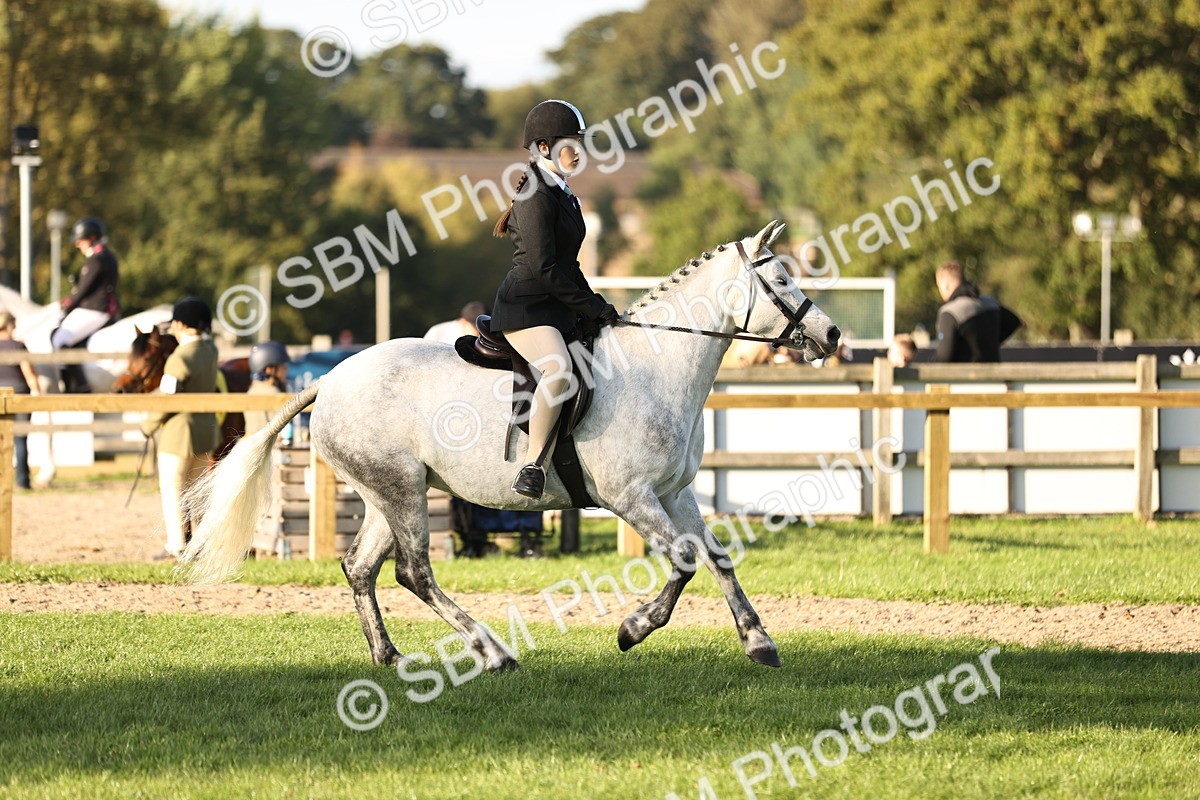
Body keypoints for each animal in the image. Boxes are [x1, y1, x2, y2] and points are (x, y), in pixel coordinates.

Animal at [179, 221, 841, 671]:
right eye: (781, 279)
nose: (832, 334)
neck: (658, 364)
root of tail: (330, 378)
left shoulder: (674, 494)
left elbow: (717, 557)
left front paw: (759, 641)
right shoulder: (631, 497)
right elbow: (682, 561)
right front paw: (633, 629)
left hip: (387, 494)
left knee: (361, 568)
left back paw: (391, 657)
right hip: (401, 491)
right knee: (413, 572)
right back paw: (492, 651)